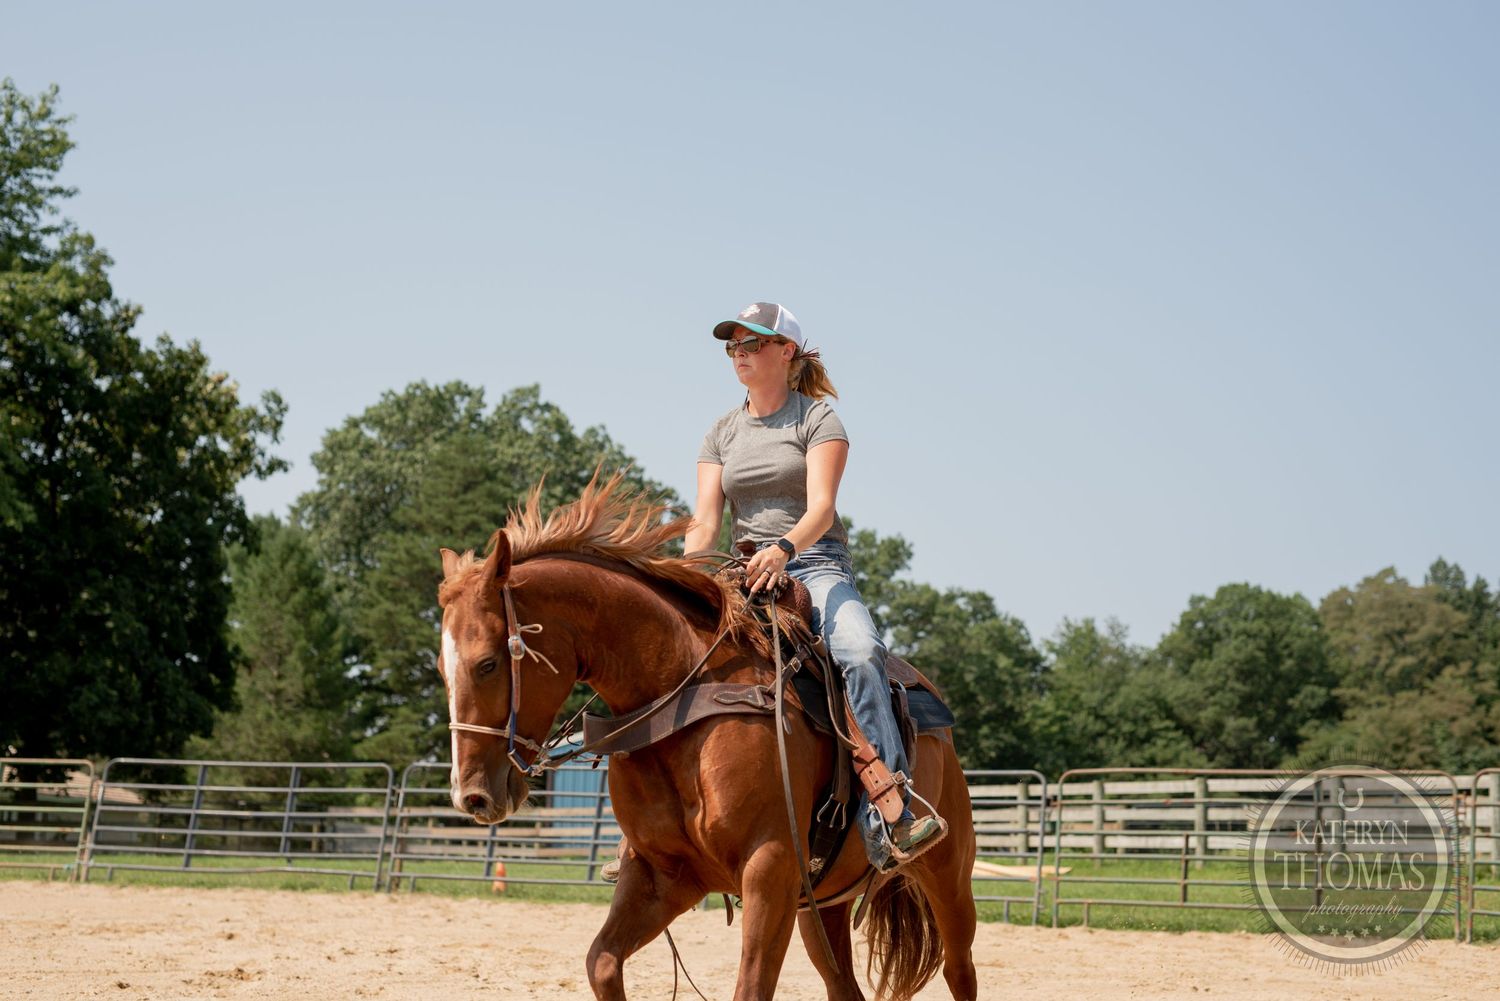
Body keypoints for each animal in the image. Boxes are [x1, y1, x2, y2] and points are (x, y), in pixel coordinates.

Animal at [435, 474, 978, 1001]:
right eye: (441, 666)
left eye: (487, 663)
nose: (471, 796)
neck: (683, 709)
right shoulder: (663, 877)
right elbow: (602, 964)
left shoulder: (769, 872)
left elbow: (750, 986)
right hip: (821, 905)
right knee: (844, 986)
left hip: (949, 878)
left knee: (960, 972)